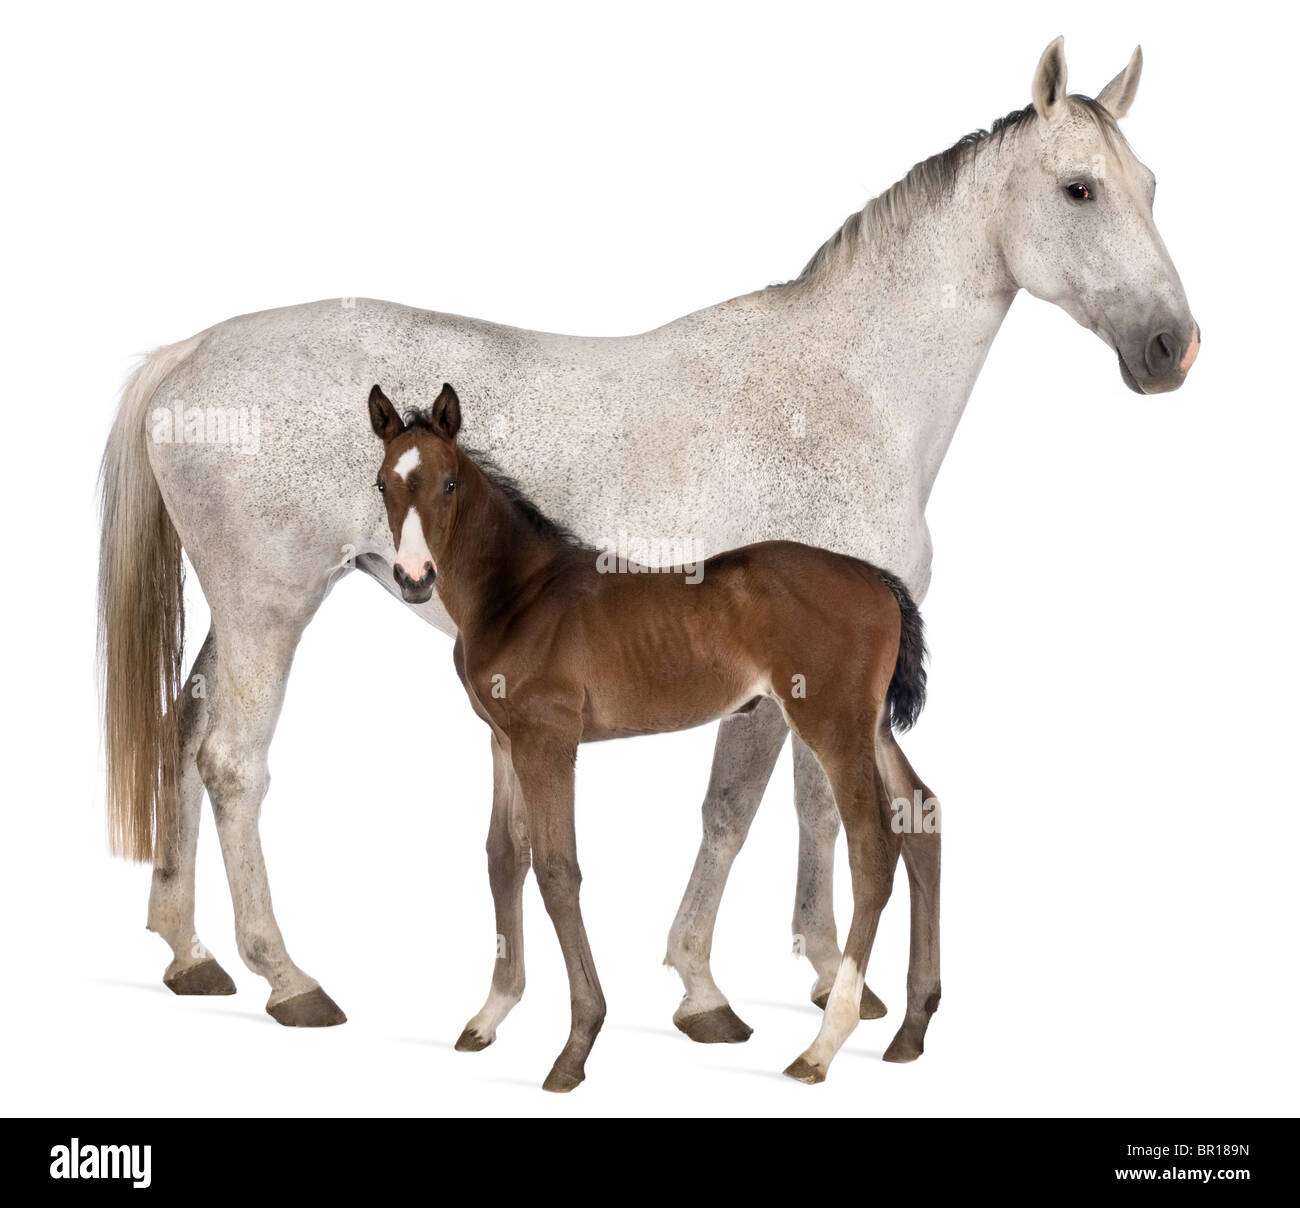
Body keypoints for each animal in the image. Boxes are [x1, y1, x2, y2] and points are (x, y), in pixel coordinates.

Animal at [371, 382, 930, 1087]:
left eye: (448, 483)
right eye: (383, 484)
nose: (413, 576)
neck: (518, 596)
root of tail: (878, 579)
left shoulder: (548, 741)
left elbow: (556, 870)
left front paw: (576, 1046)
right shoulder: (503, 739)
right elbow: (504, 858)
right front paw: (489, 1015)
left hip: (833, 725)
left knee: (874, 847)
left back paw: (823, 1044)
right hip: (872, 726)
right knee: (922, 816)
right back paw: (912, 1029)